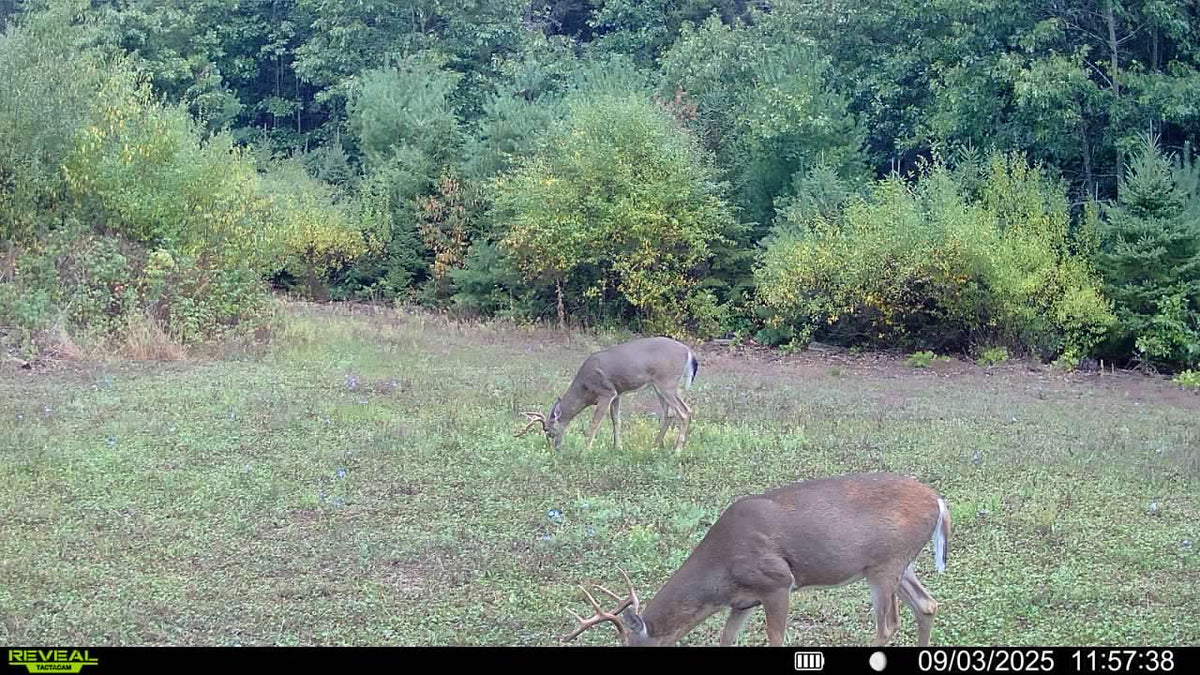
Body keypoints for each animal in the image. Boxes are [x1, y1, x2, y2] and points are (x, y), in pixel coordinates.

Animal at [517, 336, 699, 454]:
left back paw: (677, 451)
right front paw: (618, 447)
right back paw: (655, 446)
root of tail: (689, 352)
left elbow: (595, 422)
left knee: (684, 412)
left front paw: (585, 450)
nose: (555, 448)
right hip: (659, 385)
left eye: (548, 430)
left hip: (667, 382)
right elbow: (616, 420)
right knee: (670, 413)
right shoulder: (617, 394)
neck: (585, 389)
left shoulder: (606, 392)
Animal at [560, 472, 952, 647]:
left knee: (888, 624)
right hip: (901, 564)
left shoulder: (777, 582)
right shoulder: (742, 600)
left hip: (886, 565)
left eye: (630, 646)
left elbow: (775, 639)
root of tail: (938, 501)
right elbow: (726, 639)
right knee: (927, 604)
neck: (719, 571)